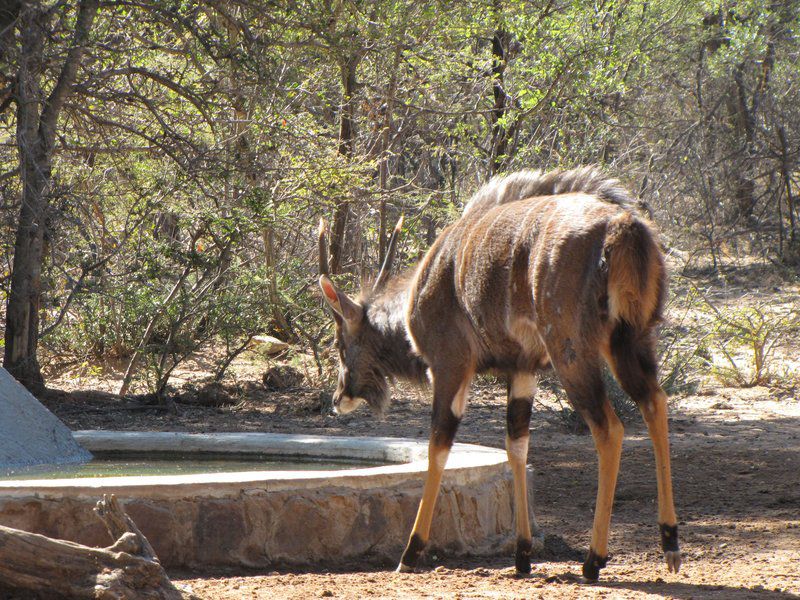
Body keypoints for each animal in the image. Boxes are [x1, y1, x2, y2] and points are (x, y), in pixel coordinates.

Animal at [318, 166, 680, 580]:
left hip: (573, 353)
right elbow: (516, 446)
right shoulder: (523, 370)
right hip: (631, 341)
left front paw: (410, 553)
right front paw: (522, 554)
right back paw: (669, 542)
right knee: (654, 403)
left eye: (339, 342)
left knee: (610, 428)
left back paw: (594, 560)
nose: (338, 398)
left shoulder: (451, 366)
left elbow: (438, 446)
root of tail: (624, 228)